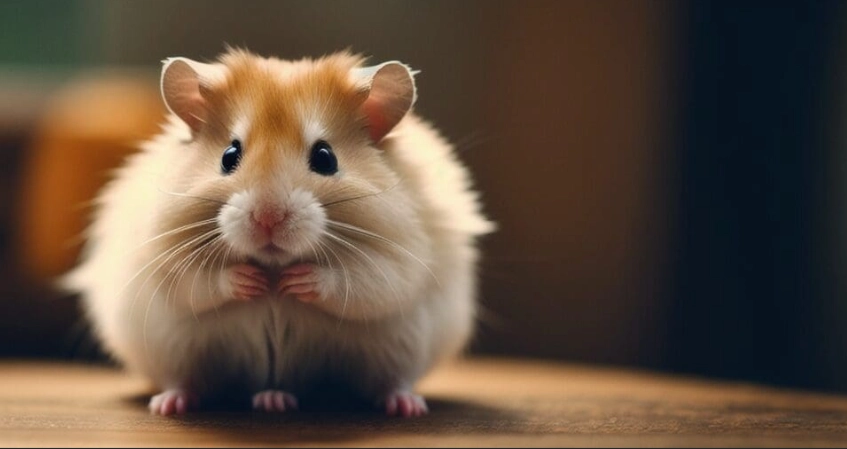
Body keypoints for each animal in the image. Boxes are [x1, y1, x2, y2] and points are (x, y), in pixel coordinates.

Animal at [60, 48, 494, 417]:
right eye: (229, 156)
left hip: (402, 350)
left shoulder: (400, 259)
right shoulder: (161, 251)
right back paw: (176, 404)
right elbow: (198, 282)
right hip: (174, 349)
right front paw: (252, 282)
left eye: (326, 158)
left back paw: (402, 407)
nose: (267, 219)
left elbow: (360, 284)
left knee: (392, 380)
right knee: (187, 379)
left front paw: (293, 283)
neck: (273, 262)